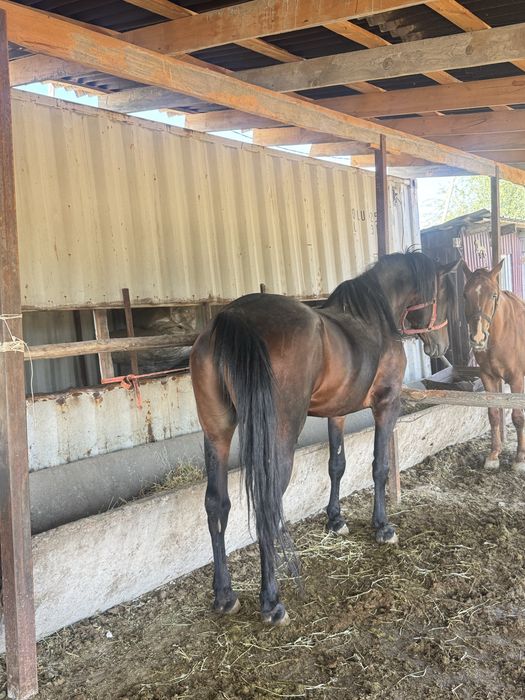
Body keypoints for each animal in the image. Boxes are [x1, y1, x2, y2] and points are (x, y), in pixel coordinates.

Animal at [190, 251, 457, 625]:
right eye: (443, 293)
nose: (441, 345)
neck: (373, 319)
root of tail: (234, 316)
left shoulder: (337, 412)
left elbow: (337, 465)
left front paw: (336, 520)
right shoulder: (386, 405)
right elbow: (379, 467)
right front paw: (382, 527)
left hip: (216, 433)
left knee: (217, 504)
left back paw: (225, 595)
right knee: (267, 504)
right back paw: (271, 602)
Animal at [462, 259, 525, 471]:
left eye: (494, 295)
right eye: (465, 295)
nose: (478, 338)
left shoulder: (516, 379)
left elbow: (518, 416)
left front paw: (520, 458)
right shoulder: (489, 377)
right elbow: (494, 414)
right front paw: (494, 454)